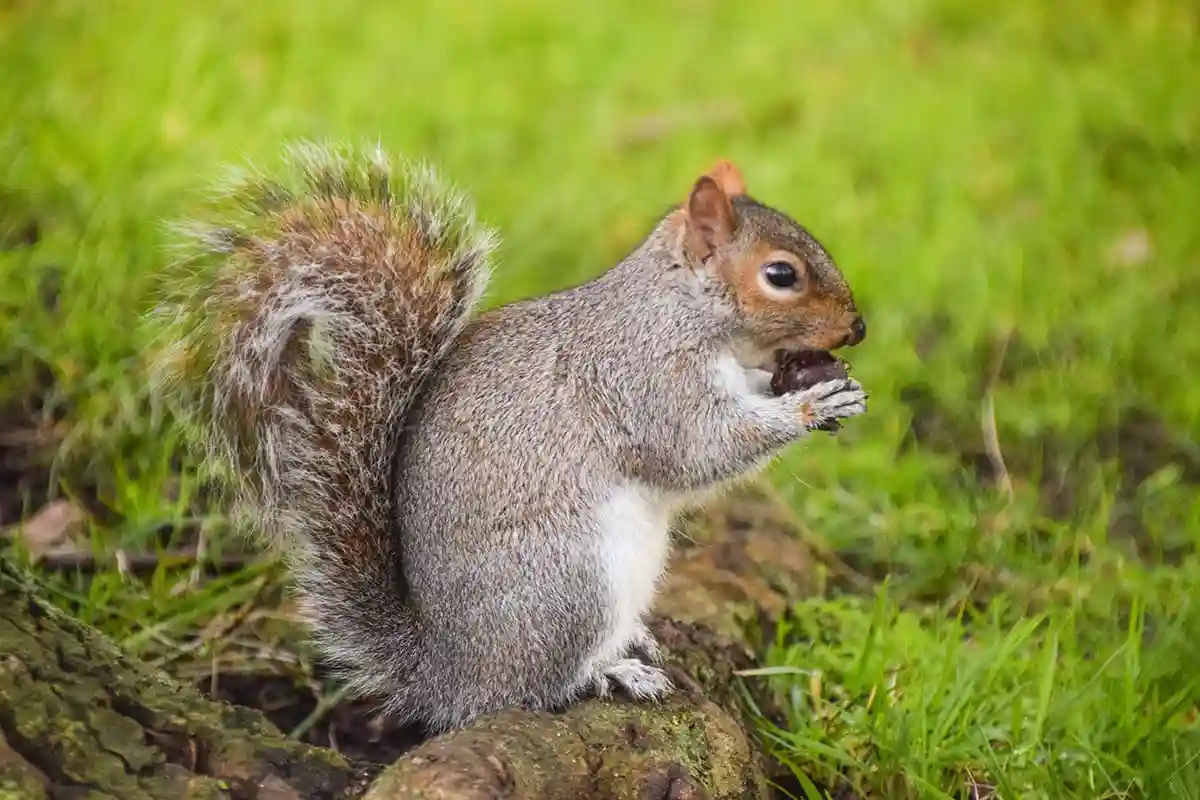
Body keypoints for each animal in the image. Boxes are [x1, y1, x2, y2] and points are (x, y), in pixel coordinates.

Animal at [151, 141, 868, 734]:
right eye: (781, 275)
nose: (858, 329)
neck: (681, 309)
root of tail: (447, 674)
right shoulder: (643, 376)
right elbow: (696, 450)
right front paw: (811, 404)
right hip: (571, 580)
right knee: (532, 690)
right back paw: (608, 671)